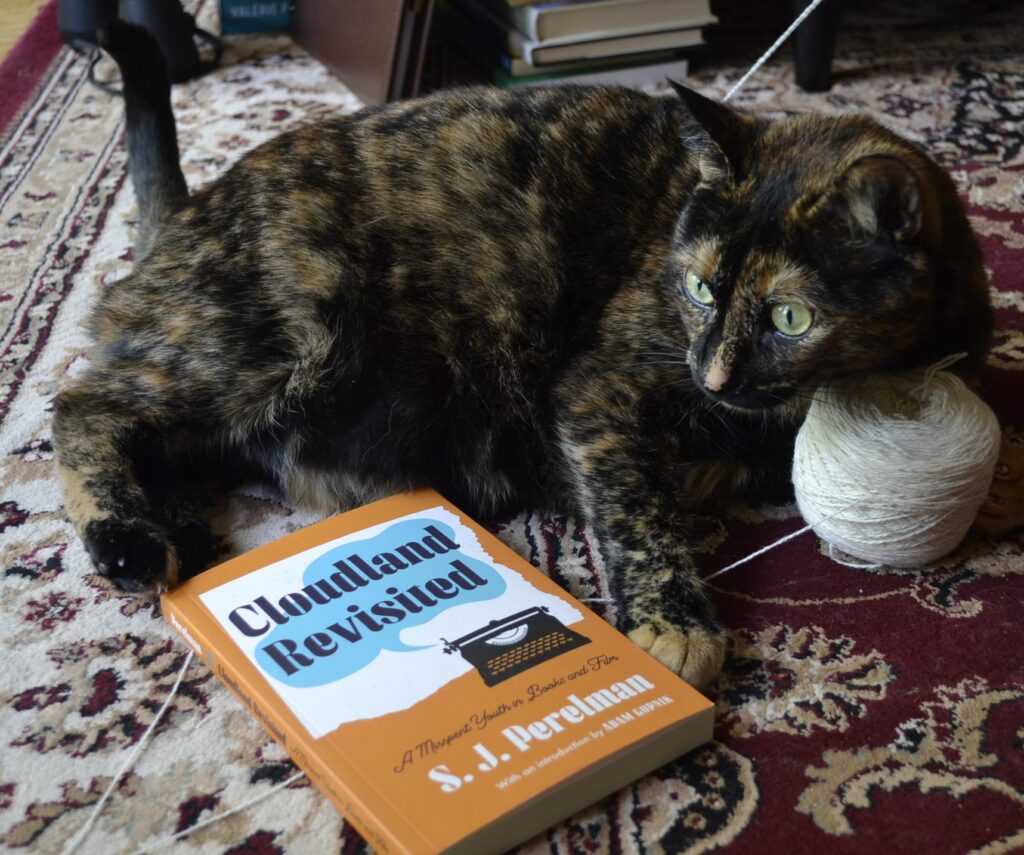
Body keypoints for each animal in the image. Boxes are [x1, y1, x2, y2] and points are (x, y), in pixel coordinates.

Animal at [49, 21, 991, 688]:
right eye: (697, 286)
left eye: (791, 316)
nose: (713, 372)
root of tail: (186, 215)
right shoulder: (600, 388)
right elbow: (639, 506)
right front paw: (676, 621)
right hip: (285, 326)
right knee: (84, 402)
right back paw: (131, 539)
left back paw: (173, 520)